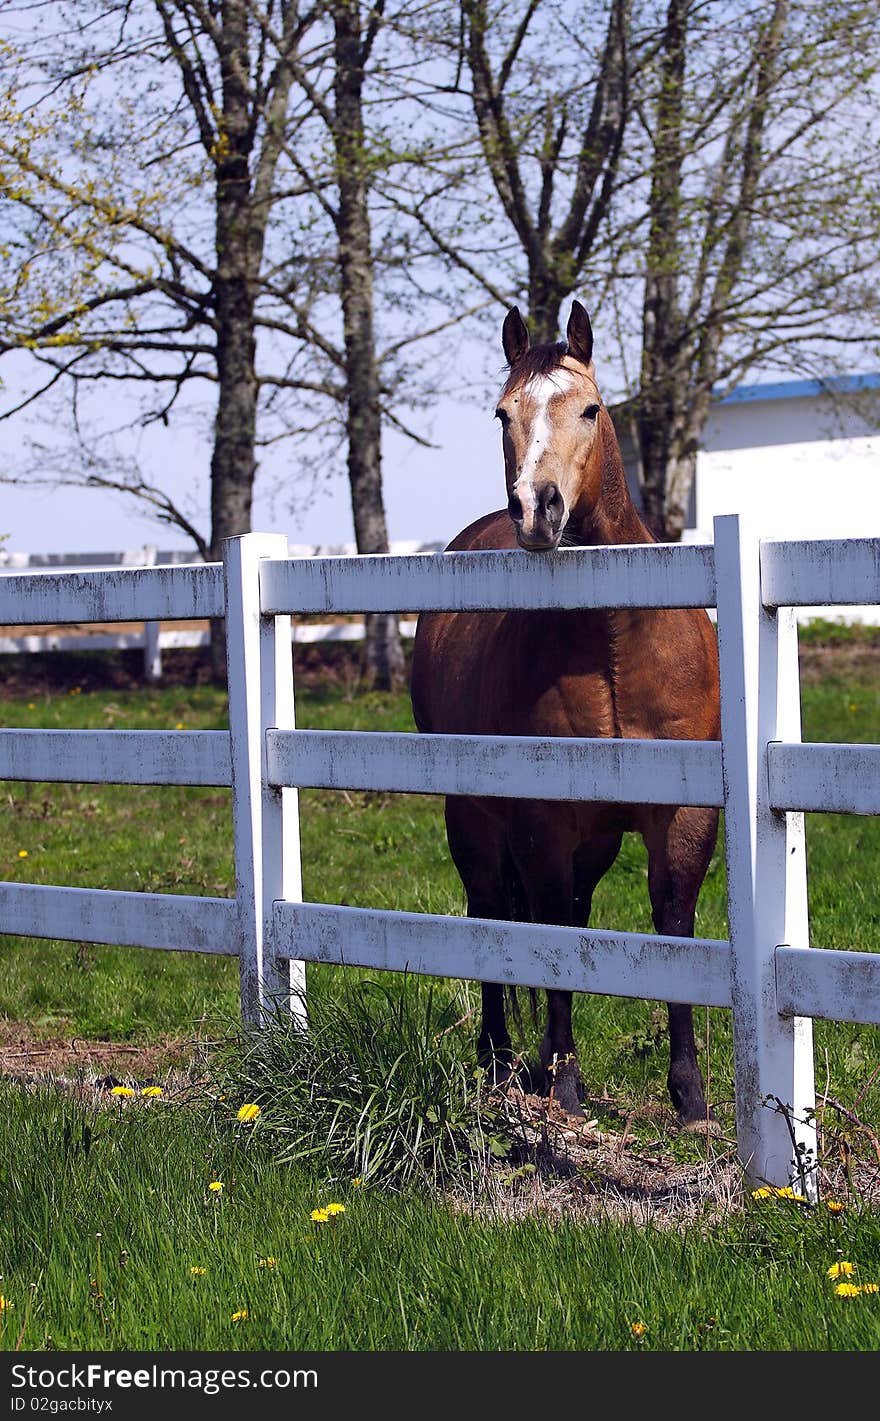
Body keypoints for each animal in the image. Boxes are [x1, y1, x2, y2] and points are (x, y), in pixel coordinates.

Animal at [409, 305, 719, 1125]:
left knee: (571, 913)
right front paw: (568, 1087)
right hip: (474, 817)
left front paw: (691, 1098)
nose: (536, 508)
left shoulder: (681, 816)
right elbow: (544, 931)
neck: (614, 633)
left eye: (590, 408)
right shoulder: (543, 816)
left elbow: (672, 925)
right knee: (495, 910)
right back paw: (501, 1060)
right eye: (502, 413)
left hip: (595, 836)